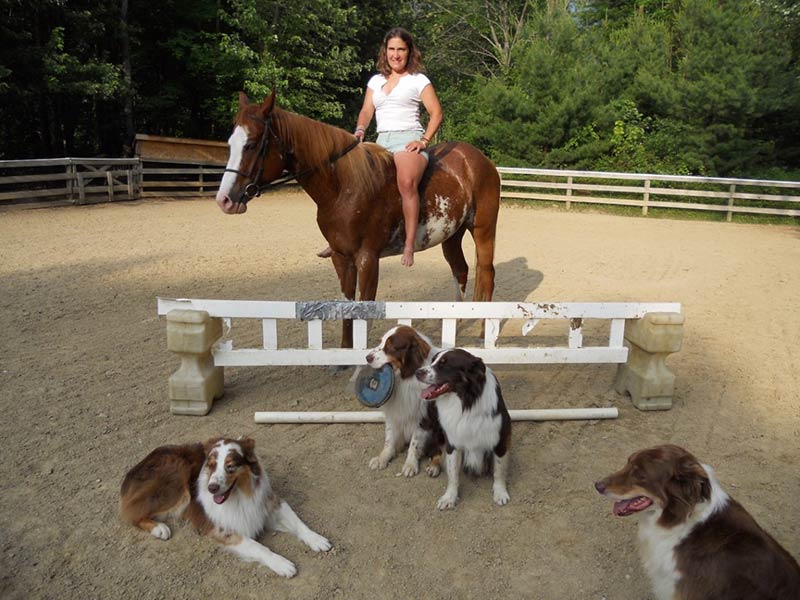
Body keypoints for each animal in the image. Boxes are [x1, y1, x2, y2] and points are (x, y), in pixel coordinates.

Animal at [120, 436, 331, 578]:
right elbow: (259, 547)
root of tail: (135, 469)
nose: (211, 488)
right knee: (131, 514)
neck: (239, 495)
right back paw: (159, 528)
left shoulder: (269, 503)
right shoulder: (225, 529)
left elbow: (298, 522)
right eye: (211, 465)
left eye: (230, 466)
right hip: (177, 481)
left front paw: (316, 539)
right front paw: (281, 563)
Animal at [215, 91, 500, 348]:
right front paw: (343, 353)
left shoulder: (368, 259)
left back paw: (484, 331)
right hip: (452, 235)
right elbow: (348, 308)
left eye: (251, 144)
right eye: (230, 143)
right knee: (461, 270)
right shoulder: (342, 258)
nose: (224, 199)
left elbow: (365, 310)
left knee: (486, 274)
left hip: (483, 230)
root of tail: (479, 159)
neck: (344, 187)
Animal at [365, 325, 444, 477]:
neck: (404, 378)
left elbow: (414, 443)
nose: (367, 357)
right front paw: (383, 457)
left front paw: (410, 464)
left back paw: (434, 466)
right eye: (381, 342)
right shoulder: (393, 413)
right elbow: (389, 439)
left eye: (391, 346)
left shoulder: (422, 418)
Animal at [415, 348, 512, 509]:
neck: (466, 402)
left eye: (444, 364)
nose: (417, 372)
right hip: (437, 429)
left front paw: (500, 493)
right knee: (436, 449)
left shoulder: (500, 441)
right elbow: (453, 473)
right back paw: (434, 465)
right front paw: (449, 497)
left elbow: (499, 470)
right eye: (433, 361)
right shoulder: (452, 442)